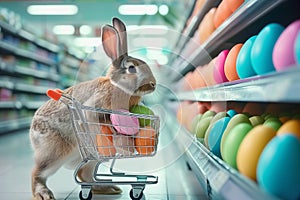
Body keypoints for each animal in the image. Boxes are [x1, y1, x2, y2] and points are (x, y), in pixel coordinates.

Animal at [29, 17, 157, 200]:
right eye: (132, 68)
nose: (153, 84)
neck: (116, 86)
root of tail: (32, 132)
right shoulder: (93, 108)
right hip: (55, 152)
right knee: (38, 172)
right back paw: (43, 194)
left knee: (85, 174)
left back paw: (109, 188)